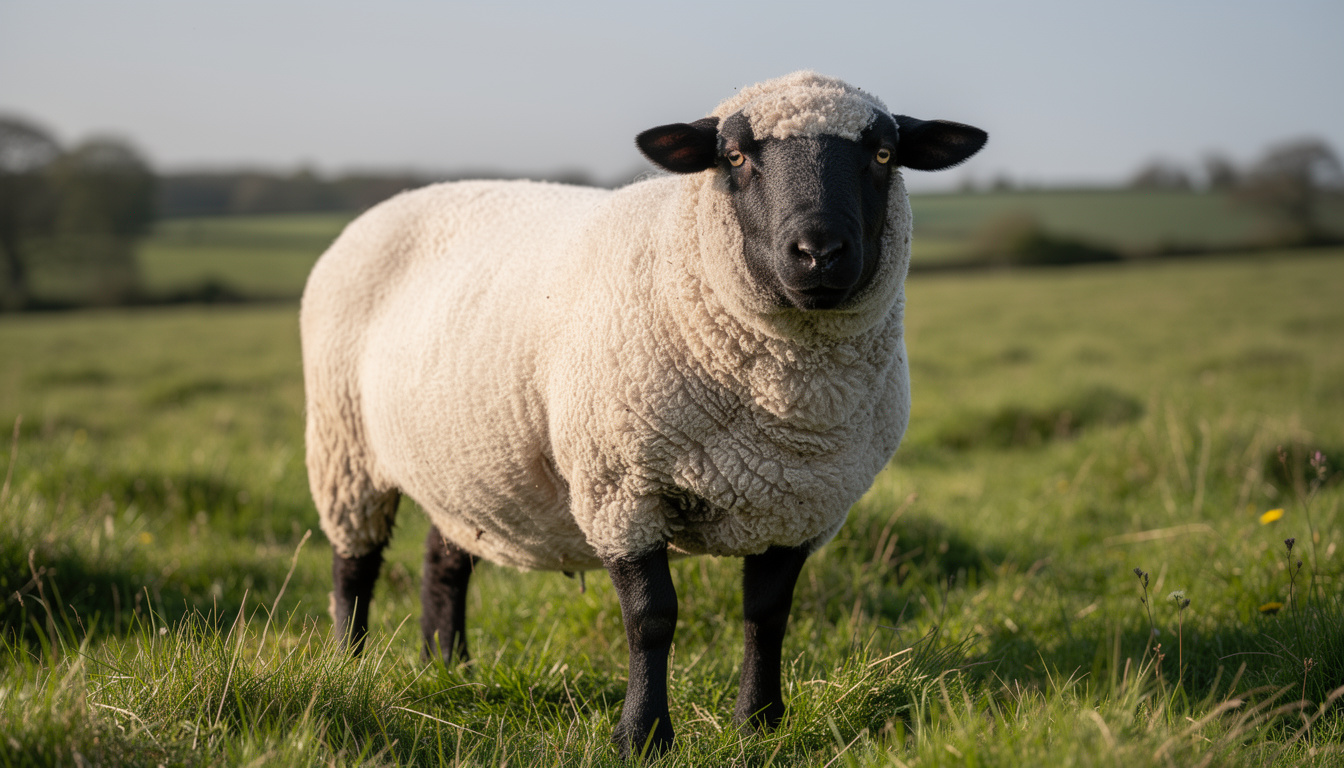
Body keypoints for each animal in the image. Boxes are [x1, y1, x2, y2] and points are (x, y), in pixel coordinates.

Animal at [300, 71, 986, 756]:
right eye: (735, 156)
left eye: (884, 155)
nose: (818, 251)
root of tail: (403, 198)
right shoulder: (621, 490)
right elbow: (652, 618)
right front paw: (642, 735)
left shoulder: (801, 505)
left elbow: (767, 615)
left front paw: (759, 722)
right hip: (344, 444)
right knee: (353, 566)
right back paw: (351, 668)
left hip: (469, 462)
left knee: (443, 561)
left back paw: (449, 668)